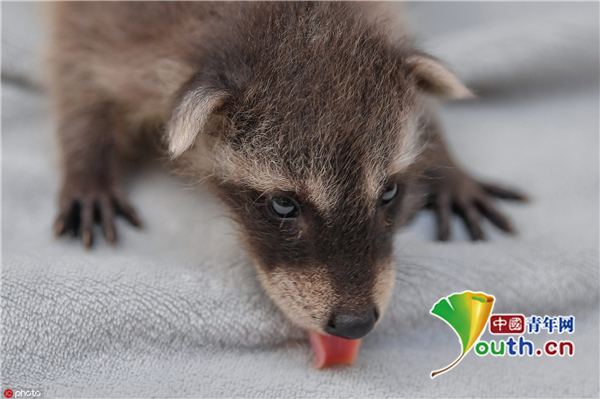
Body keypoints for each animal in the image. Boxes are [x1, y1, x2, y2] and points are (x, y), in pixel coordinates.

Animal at [47, 2, 524, 340]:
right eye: (283, 205)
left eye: (389, 193)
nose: (355, 324)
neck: (286, 16)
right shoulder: (114, 22)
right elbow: (77, 74)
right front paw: (88, 161)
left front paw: (445, 166)